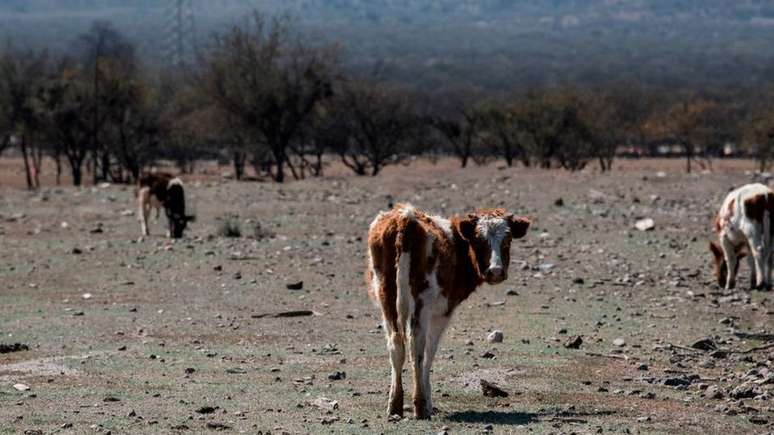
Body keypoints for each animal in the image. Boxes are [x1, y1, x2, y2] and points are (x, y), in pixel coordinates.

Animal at [366, 204, 532, 418]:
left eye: (508, 239)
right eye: (479, 239)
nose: (495, 271)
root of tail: (405, 218)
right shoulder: (442, 312)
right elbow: (429, 352)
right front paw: (428, 402)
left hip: (386, 297)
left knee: (395, 345)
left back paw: (395, 405)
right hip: (420, 303)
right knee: (416, 347)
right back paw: (420, 406)